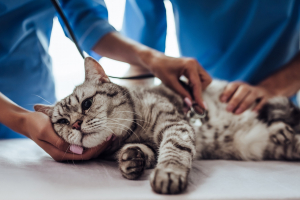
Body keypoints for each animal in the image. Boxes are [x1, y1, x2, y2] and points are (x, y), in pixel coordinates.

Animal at [34, 57, 300, 195]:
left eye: (87, 103)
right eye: (62, 122)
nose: (76, 124)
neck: (132, 133)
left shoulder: (175, 124)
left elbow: (173, 149)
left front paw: (169, 173)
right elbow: (146, 152)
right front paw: (132, 159)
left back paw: (280, 127)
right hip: (262, 144)